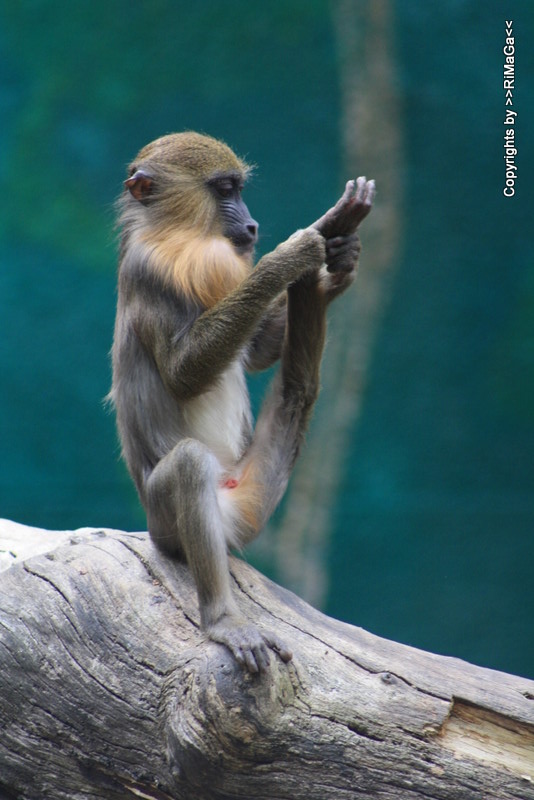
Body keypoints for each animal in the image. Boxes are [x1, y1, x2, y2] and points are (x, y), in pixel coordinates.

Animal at [110, 133, 376, 676]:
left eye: (239, 188)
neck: (176, 237)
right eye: (224, 189)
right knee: (190, 465)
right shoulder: (147, 274)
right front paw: (293, 255)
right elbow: (184, 373)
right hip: (166, 522)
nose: (251, 226)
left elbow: (252, 354)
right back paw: (222, 620)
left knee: (298, 390)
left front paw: (334, 259)